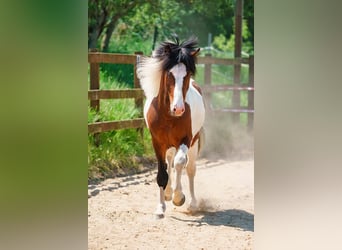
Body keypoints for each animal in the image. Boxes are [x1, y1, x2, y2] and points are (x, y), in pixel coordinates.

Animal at [137, 36, 206, 218]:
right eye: (169, 74)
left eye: (187, 74)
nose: (179, 109)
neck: (168, 115)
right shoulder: (157, 142)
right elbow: (162, 173)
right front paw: (160, 208)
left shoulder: (186, 139)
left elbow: (180, 163)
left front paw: (178, 197)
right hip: (168, 145)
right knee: (170, 162)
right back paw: (168, 193)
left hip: (194, 143)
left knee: (188, 168)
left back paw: (192, 203)